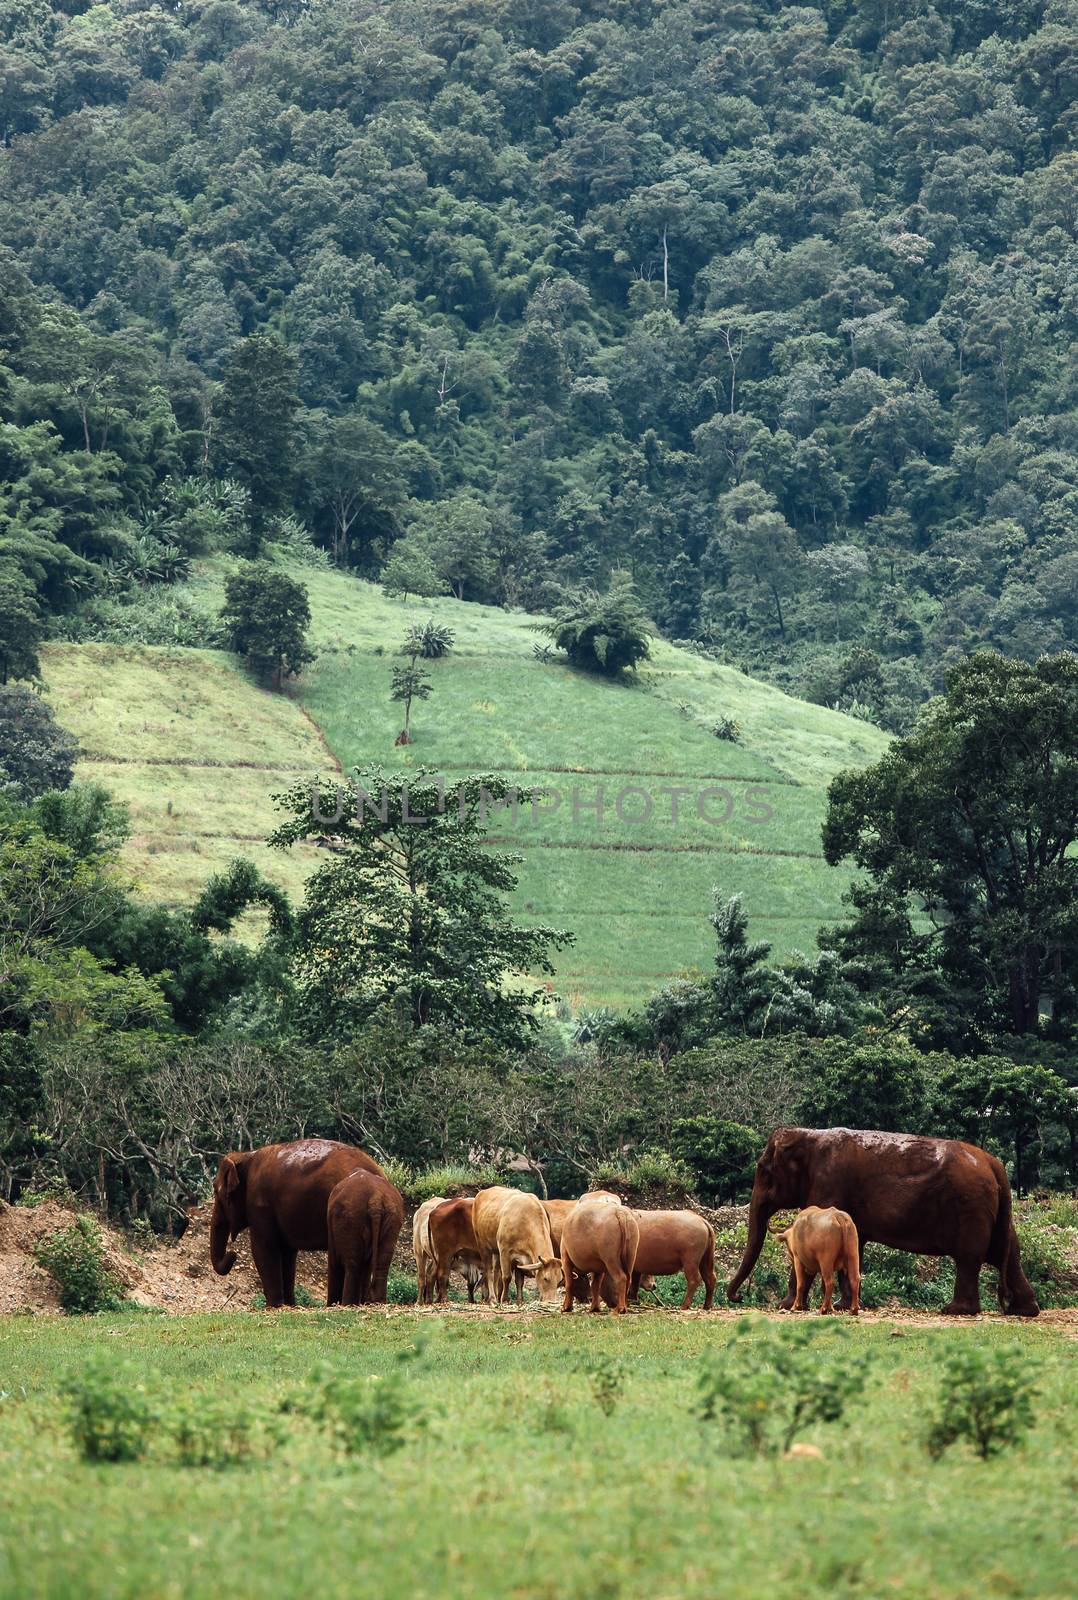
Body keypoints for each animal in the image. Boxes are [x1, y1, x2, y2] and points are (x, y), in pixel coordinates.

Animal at [209, 1132, 382, 1305]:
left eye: (217, 1192)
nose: (233, 1254)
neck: (246, 1155)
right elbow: (287, 1253)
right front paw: (288, 1305)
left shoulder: (260, 1205)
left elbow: (264, 1249)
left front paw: (273, 1306)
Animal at [324, 1171, 404, 1305]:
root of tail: (375, 1198)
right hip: (393, 1216)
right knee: (382, 1263)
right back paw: (377, 1302)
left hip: (351, 1218)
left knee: (352, 1265)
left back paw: (348, 1304)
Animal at [726, 1120, 1036, 1318]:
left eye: (763, 1170)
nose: (738, 1297)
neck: (810, 1135)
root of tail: (995, 1165)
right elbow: (855, 1247)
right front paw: (844, 1306)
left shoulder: (829, 1185)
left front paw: (785, 1305)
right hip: (992, 1212)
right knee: (1008, 1253)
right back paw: (1024, 1310)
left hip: (970, 1207)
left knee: (969, 1257)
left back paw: (956, 1310)